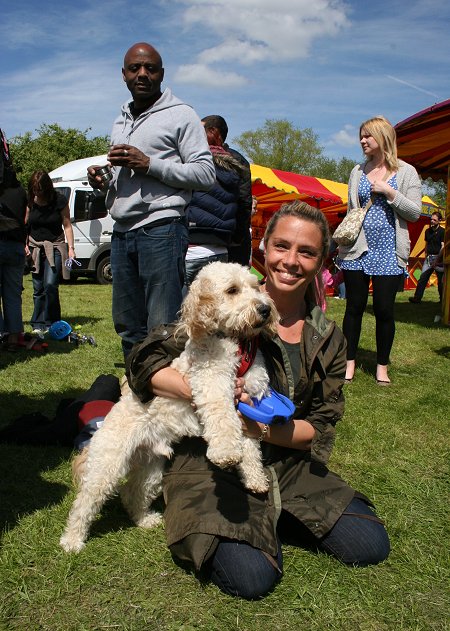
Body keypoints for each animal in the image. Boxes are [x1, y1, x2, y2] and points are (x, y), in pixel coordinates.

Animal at [59, 262, 278, 552]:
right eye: (232, 290)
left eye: (256, 287)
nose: (265, 309)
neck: (235, 343)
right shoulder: (212, 382)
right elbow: (222, 419)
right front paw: (226, 453)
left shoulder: (248, 398)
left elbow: (251, 444)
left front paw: (254, 477)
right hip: (107, 466)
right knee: (84, 504)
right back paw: (72, 540)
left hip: (151, 469)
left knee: (132, 493)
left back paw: (144, 520)